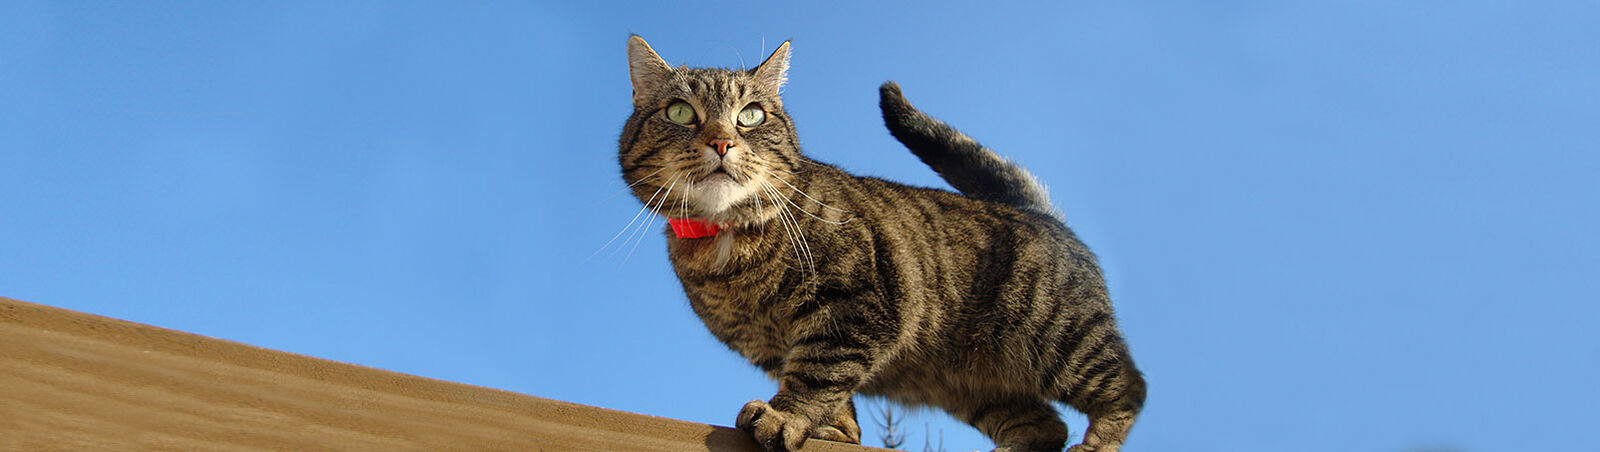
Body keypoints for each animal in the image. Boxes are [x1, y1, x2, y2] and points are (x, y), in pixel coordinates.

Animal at [617, 36, 1145, 452]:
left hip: (1063, 342)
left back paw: (1097, 443)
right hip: (979, 386)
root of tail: (1034, 209)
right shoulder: (770, 347)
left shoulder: (859, 306)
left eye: (751, 115)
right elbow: (833, 397)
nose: (723, 141)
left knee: (1128, 388)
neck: (731, 246)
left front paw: (787, 416)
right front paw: (833, 431)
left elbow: (819, 371)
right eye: (680, 112)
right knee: (1046, 427)